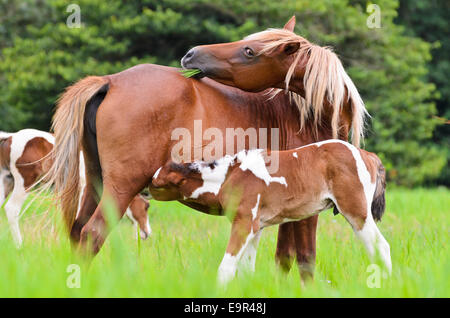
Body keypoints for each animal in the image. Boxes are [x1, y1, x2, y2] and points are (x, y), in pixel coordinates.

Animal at [0, 129, 152, 246]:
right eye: (146, 206)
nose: (147, 233)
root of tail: (10, 137)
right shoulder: (83, 188)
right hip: (24, 183)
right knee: (12, 209)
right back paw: (20, 246)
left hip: (7, 181)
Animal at [153, 139, 392, 284]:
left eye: (156, 184)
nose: (145, 189)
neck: (229, 176)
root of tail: (367, 155)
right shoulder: (255, 228)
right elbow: (246, 271)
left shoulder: (244, 224)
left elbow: (226, 268)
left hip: (356, 212)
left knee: (381, 246)